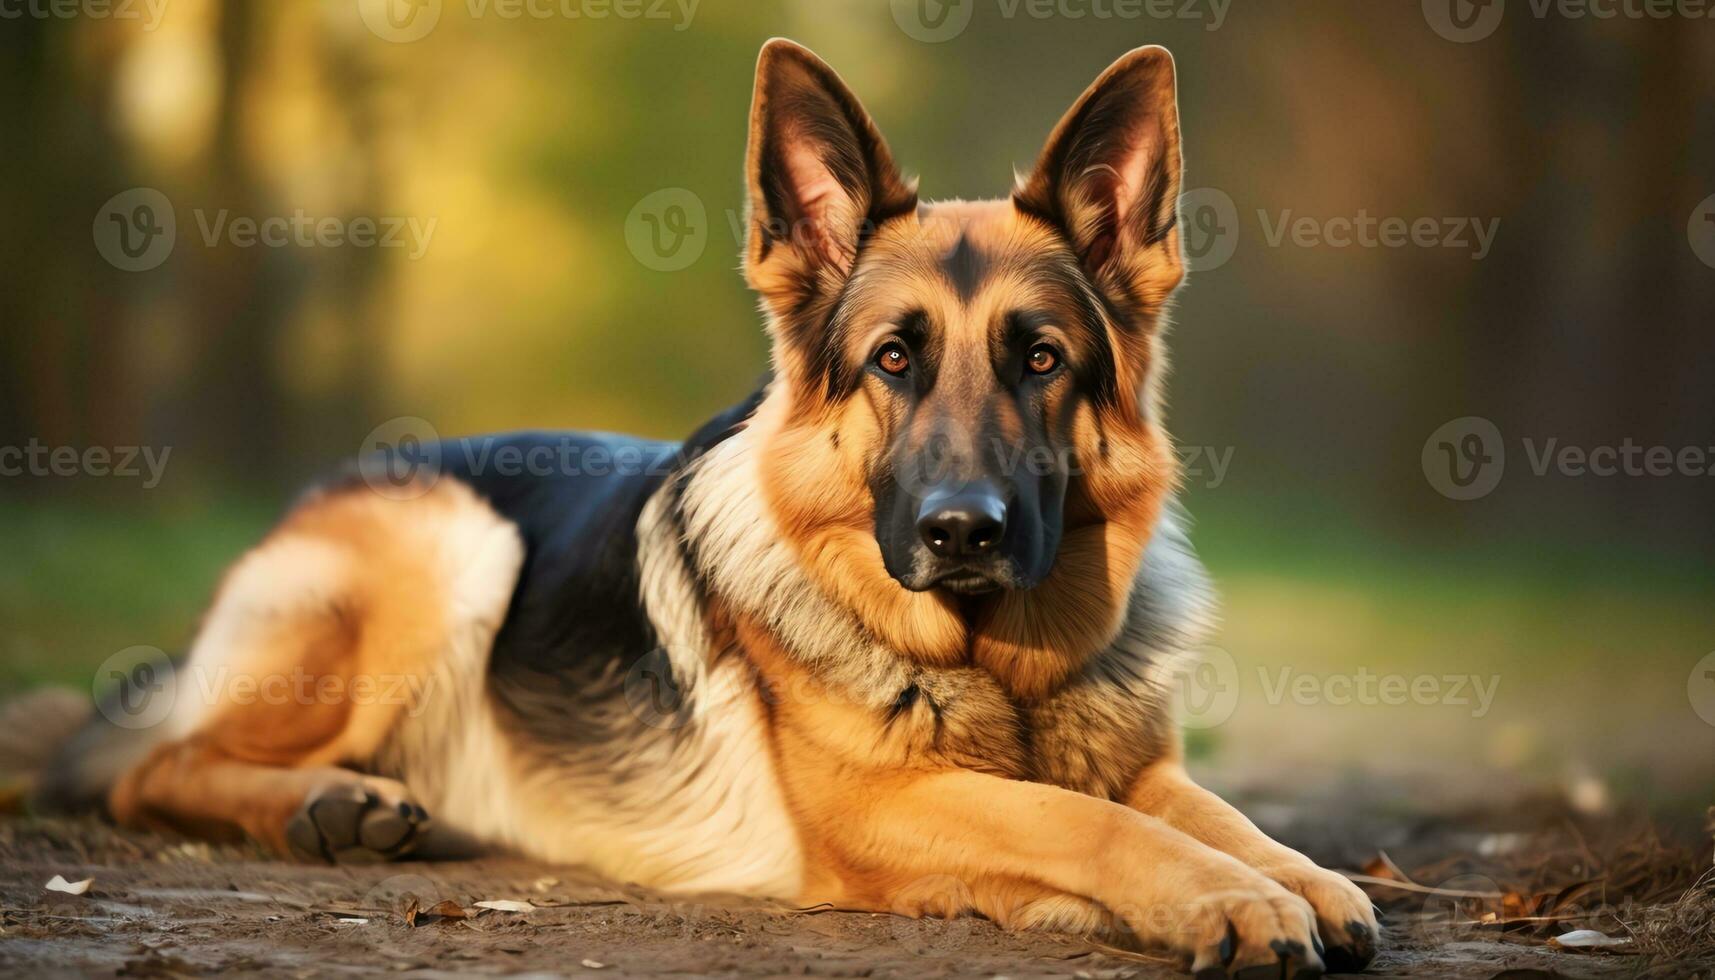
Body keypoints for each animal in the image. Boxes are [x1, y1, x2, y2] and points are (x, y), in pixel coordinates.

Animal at [40, 40, 1378, 980]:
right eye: (894, 359)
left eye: (1040, 359)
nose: (960, 532)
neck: (1000, 666)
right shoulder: (889, 809)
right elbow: (1091, 826)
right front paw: (1232, 898)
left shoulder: (1140, 764)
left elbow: (1212, 812)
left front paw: (1298, 877)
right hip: (451, 544)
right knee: (145, 765)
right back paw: (328, 804)